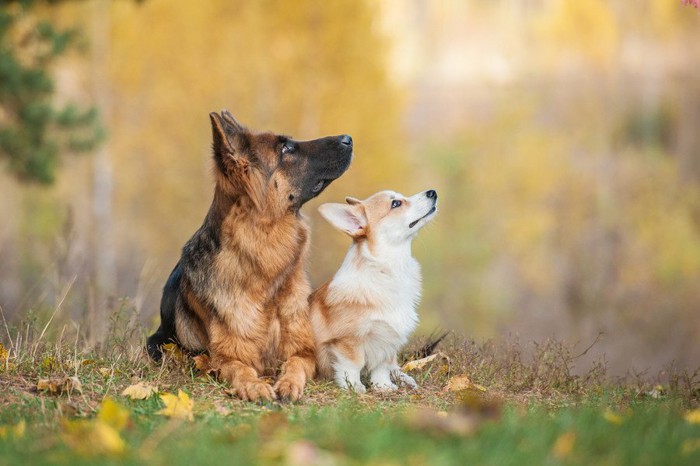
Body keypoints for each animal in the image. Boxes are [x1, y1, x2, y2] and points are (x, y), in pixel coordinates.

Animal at [150, 110, 352, 400]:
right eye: (286, 149)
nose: (348, 138)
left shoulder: (303, 351)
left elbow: (294, 364)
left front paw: (288, 383)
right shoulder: (224, 359)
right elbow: (241, 369)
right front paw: (255, 386)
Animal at [312, 187, 438, 392]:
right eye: (396, 203)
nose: (432, 192)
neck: (387, 269)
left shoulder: (387, 341)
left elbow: (382, 366)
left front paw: (383, 386)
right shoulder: (348, 340)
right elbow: (353, 364)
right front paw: (354, 386)